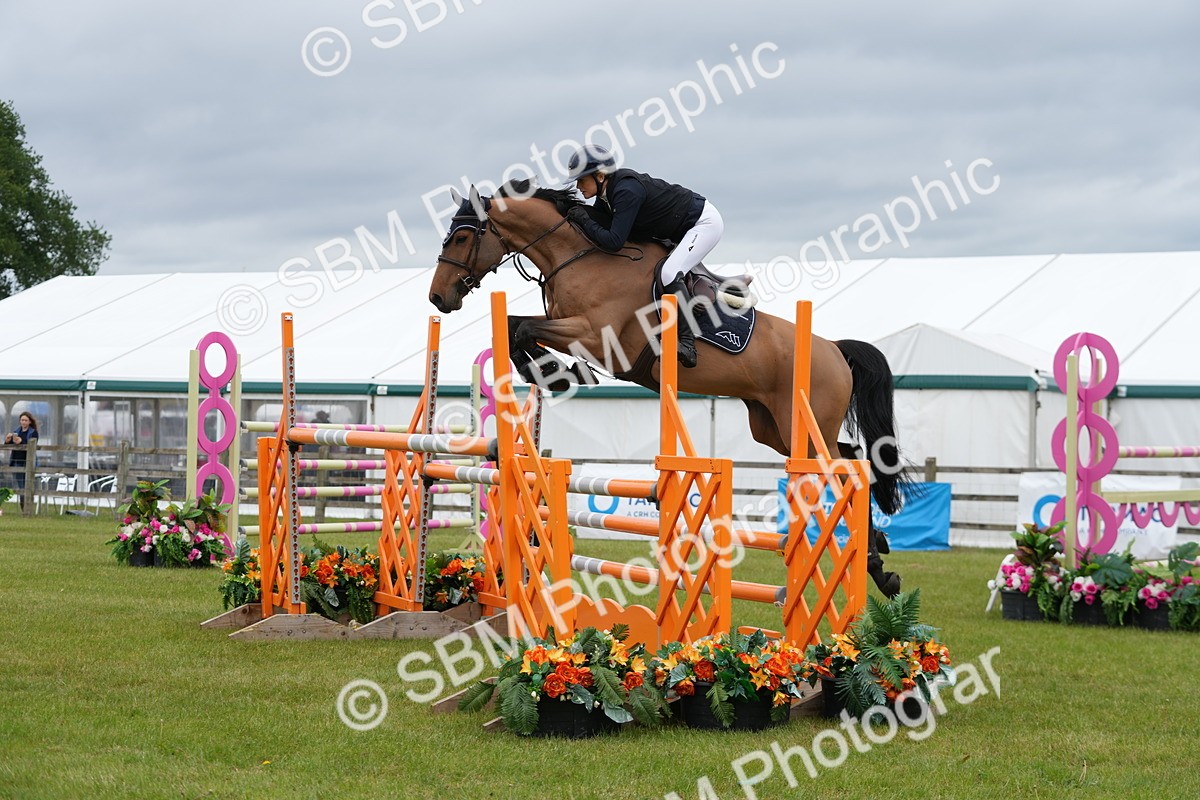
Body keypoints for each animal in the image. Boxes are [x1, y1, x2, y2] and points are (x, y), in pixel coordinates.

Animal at [429, 181, 904, 595]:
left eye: (463, 236)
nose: (438, 298)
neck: (578, 256)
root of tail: (834, 349)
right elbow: (515, 327)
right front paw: (551, 372)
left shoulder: (596, 336)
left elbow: (524, 328)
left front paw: (561, 374)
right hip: (774, 428)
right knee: (850, 457)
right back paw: (878, 558)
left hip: (802, 425)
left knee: (845, 469)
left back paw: (878, 567)